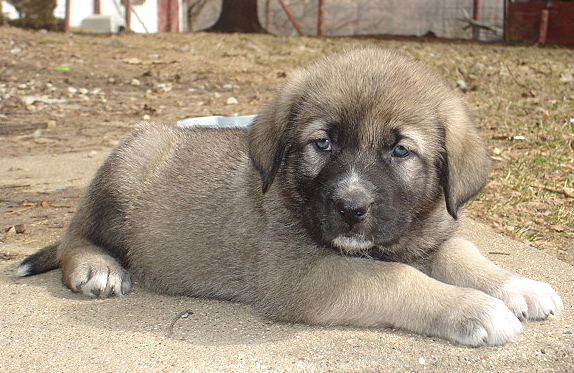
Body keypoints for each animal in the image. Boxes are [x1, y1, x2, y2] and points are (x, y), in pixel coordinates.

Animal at [18, 48, 564, 346]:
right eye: (323, 143)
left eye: (400, 150)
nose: (350, 209)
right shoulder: (300, 275)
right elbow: (395, 279)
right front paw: (474, 309)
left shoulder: (422, 235)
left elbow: (461, 251)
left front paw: (516, 286)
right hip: (124, 173)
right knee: (74, 234)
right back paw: (98, 267)